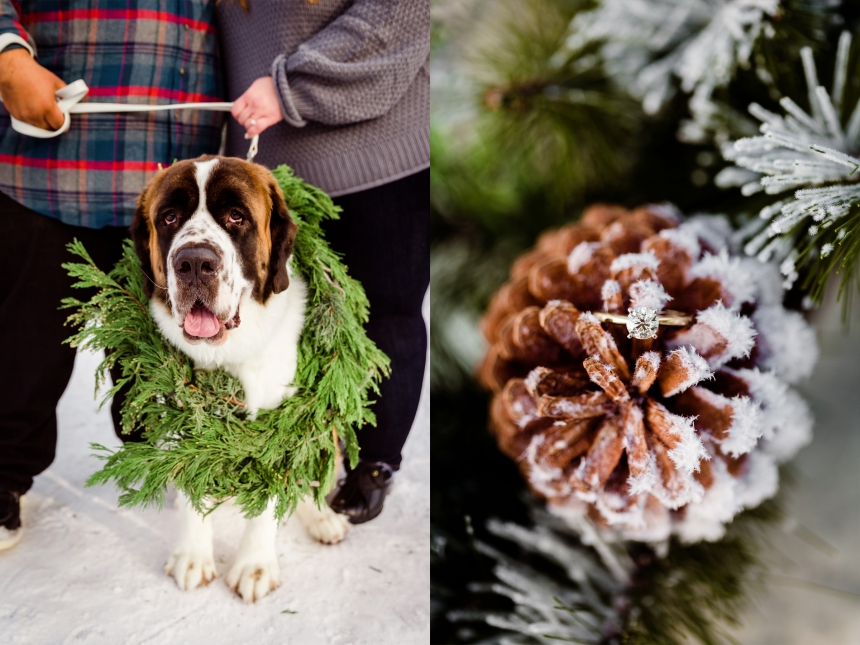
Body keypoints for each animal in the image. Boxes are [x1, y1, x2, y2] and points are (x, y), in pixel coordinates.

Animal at [130, 156, 350, 604]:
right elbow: (192, 480)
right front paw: (192, 556)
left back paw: (321, 518)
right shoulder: (180, 423)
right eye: (169, 217)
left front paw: (254, 566)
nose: (195, 263)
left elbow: (268, 500)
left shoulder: (279, 424)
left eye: (236, 216)